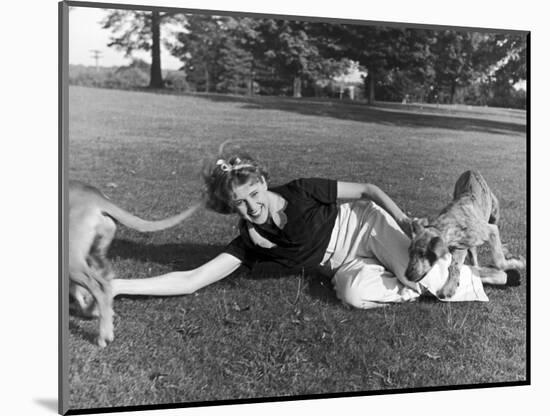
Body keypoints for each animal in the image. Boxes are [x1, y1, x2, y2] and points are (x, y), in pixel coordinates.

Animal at [67, 180, 201, 346]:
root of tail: (95, 196)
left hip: (73, 262)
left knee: (100, 287)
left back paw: (103, 334)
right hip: (93, 252)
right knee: (106, 280)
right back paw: (97, 313)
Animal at [406, 170, 528, 300]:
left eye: (422, 254)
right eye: (410, 252)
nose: (407, 275)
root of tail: (471, 171)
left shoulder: (491, 230)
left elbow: (499, 261)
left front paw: (518, 262)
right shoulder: (460, 247)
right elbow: (454, 266)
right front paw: (449, 288)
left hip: (494, 213)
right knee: (474, 259)